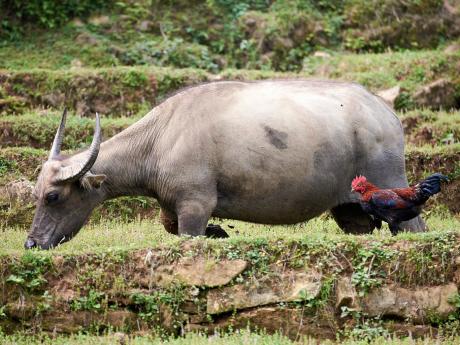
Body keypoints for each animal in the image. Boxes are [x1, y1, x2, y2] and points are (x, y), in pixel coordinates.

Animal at [25, 79, 426, 249]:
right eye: (36, 194)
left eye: (53, 197)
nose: (32, 243)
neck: (161, 138)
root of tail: (386, 115)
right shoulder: (173, 205)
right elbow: (169, 226)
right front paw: (218, 232)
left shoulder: (195, 203)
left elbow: (187, 235)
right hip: (350, 210)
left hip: (394, 193)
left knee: (414, 228)